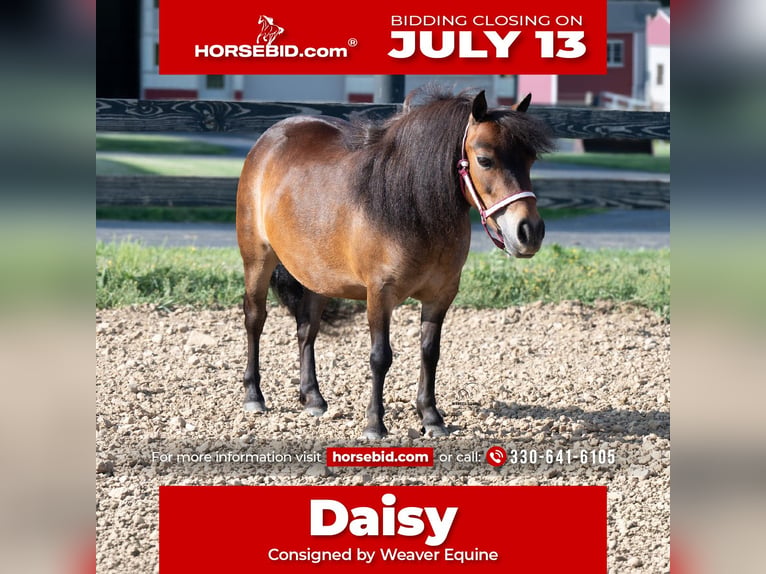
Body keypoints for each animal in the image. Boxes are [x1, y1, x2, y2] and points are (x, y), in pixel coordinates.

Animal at [235, 87, 553, 438]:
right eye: (485, 160)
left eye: (531, 160)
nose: (530, 231)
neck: (414, 208)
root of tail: (270, 138)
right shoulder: (380, 294)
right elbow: (380, 357)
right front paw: (375, 423)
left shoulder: (441, 295)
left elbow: (430, 353)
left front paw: (431, 417)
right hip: (257, 258)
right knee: (255, 319)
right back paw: (254, 395)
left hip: (317, 274)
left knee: (307, 328)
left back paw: (314, 398)